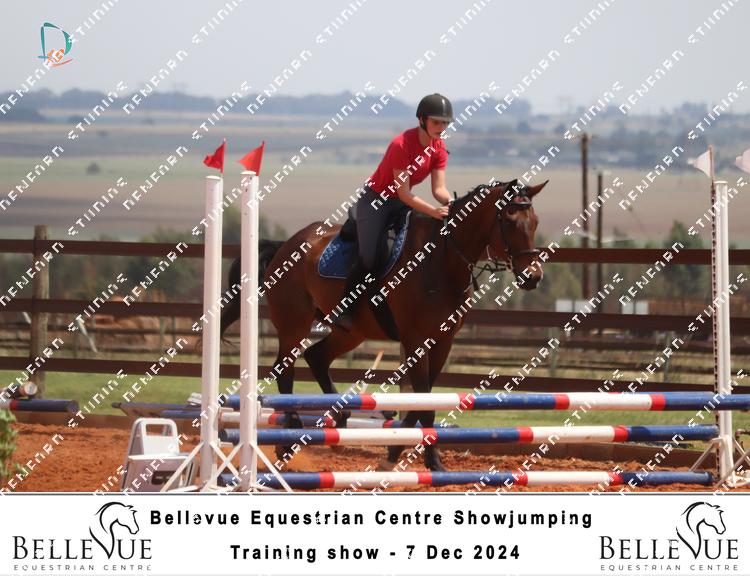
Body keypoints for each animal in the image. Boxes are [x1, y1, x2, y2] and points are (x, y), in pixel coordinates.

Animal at [220, 178, 548, 471]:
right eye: (509, 222)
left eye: (535, 223)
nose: (533, 277)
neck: (442, 261)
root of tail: (285, 246)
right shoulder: (416, 341)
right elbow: (425, 403)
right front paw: (425, 460)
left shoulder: (443, 341)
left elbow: (423, 401)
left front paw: (398, 454)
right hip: (294, 324)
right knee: (285, 370)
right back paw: (288, 438)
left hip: (350, 332)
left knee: (316, 357)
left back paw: (338, 418)